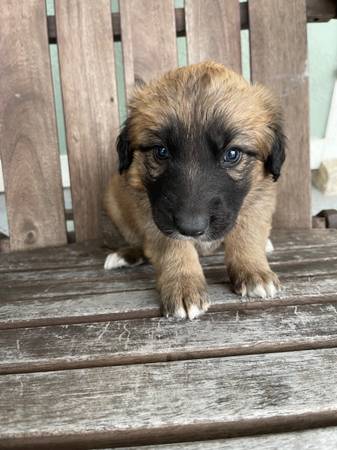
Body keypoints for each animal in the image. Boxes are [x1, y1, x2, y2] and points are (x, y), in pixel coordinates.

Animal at [103, 60, 284, 320]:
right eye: (161, 151)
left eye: (232, 154)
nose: (191, 228)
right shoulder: (151, 208)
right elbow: (173, 246)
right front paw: (183, 284)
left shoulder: (259, 195)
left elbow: (247, 234)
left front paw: (254, 272)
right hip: (113, 199)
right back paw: (125, 255)